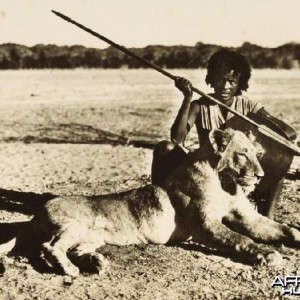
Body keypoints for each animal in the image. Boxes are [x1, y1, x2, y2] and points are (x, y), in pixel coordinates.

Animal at [0, 127, 300, 276]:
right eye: (242, 154)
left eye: (257, 154)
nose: (260, 176)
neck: (226, 184)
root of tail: (37, 212)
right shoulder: (205, 226)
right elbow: (241, 239)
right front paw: (267, 255)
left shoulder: (246, 216)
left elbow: (278, 228)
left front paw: (294, 236)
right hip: (74, 225)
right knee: (49, 247)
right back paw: (70, 270)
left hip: (91, 236)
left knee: (70, 249)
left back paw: (96, 263)